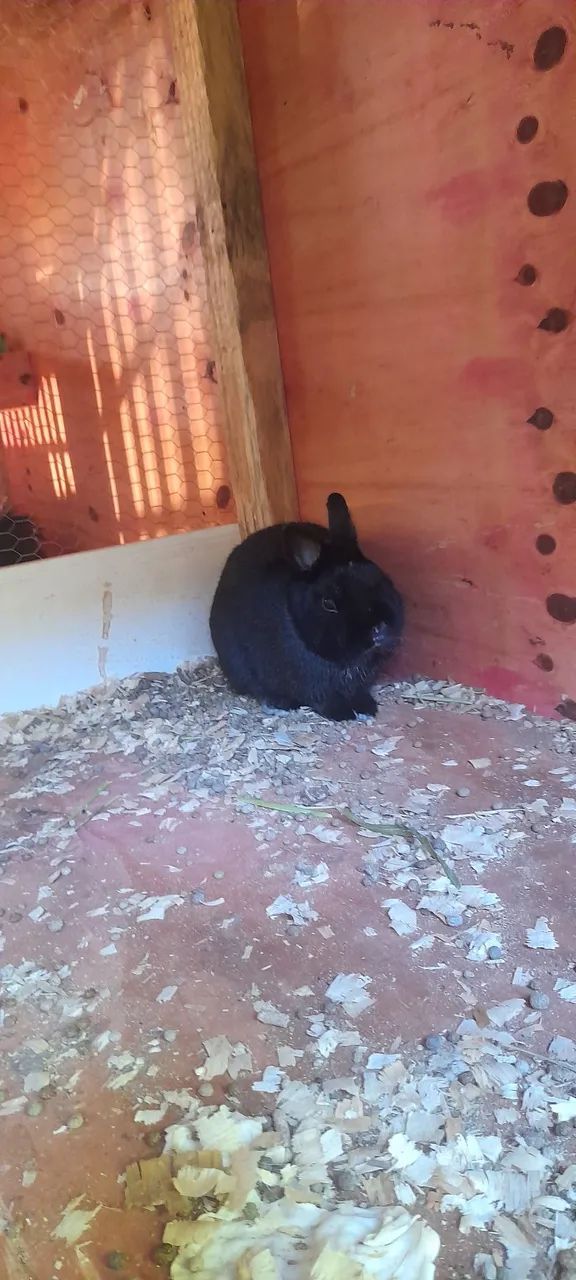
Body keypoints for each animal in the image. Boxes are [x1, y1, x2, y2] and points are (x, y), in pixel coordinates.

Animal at [209, 492, 404, 721]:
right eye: (328, 604)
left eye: (383, 580)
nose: (379, 628)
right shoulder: (312, 686)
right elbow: (323, 698)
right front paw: (343, 713)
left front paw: (367, 707)